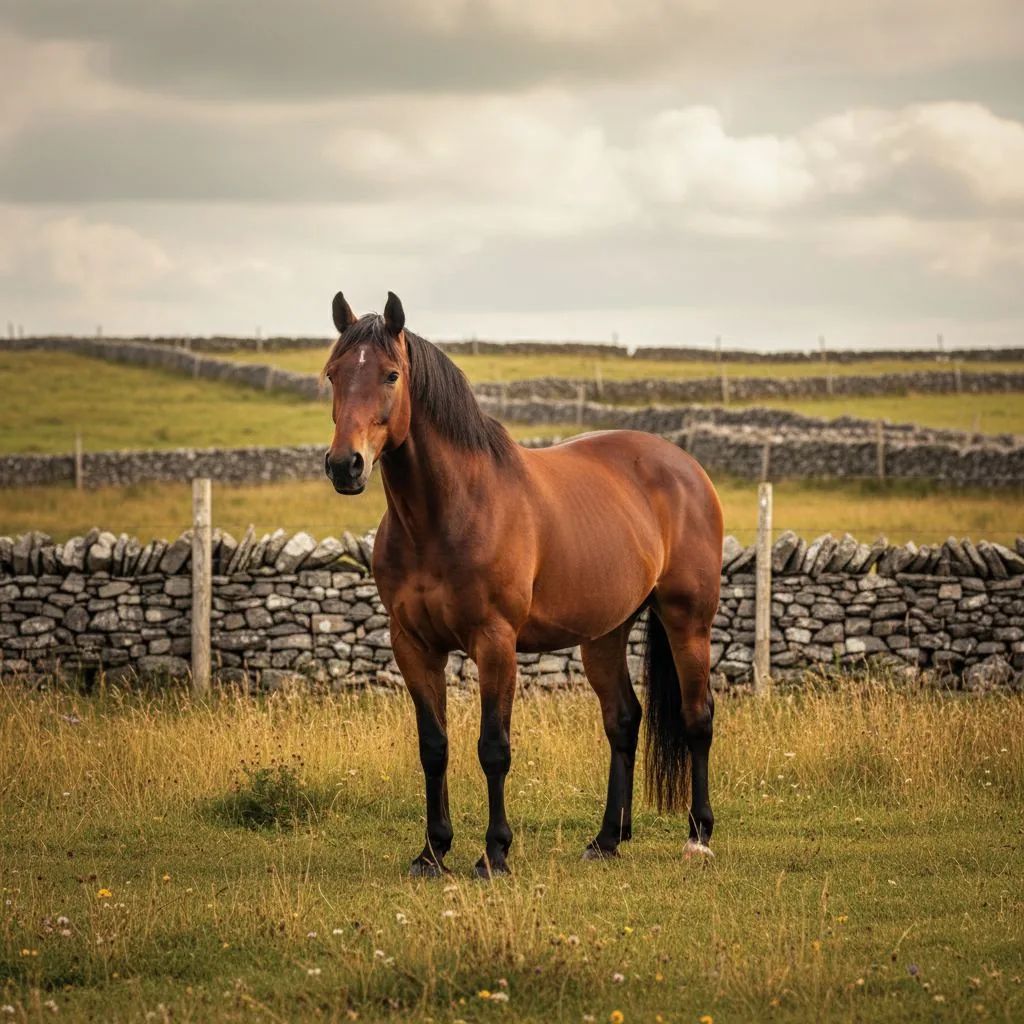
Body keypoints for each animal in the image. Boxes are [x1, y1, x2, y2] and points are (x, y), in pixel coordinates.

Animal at [322, 291, 723, 877]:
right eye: (332, 374)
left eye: (391, 375)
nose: (344, 466)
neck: (447, 513)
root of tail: (687, 467)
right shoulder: (413, 645)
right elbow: (433, 747)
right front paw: (433, 851)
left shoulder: (495, 643)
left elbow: (494, 747)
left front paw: (494, 853)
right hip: (605, 633)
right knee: (623, 720)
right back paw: (606, 839)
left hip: (686, 620)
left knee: (698, 717)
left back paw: (698, 836)